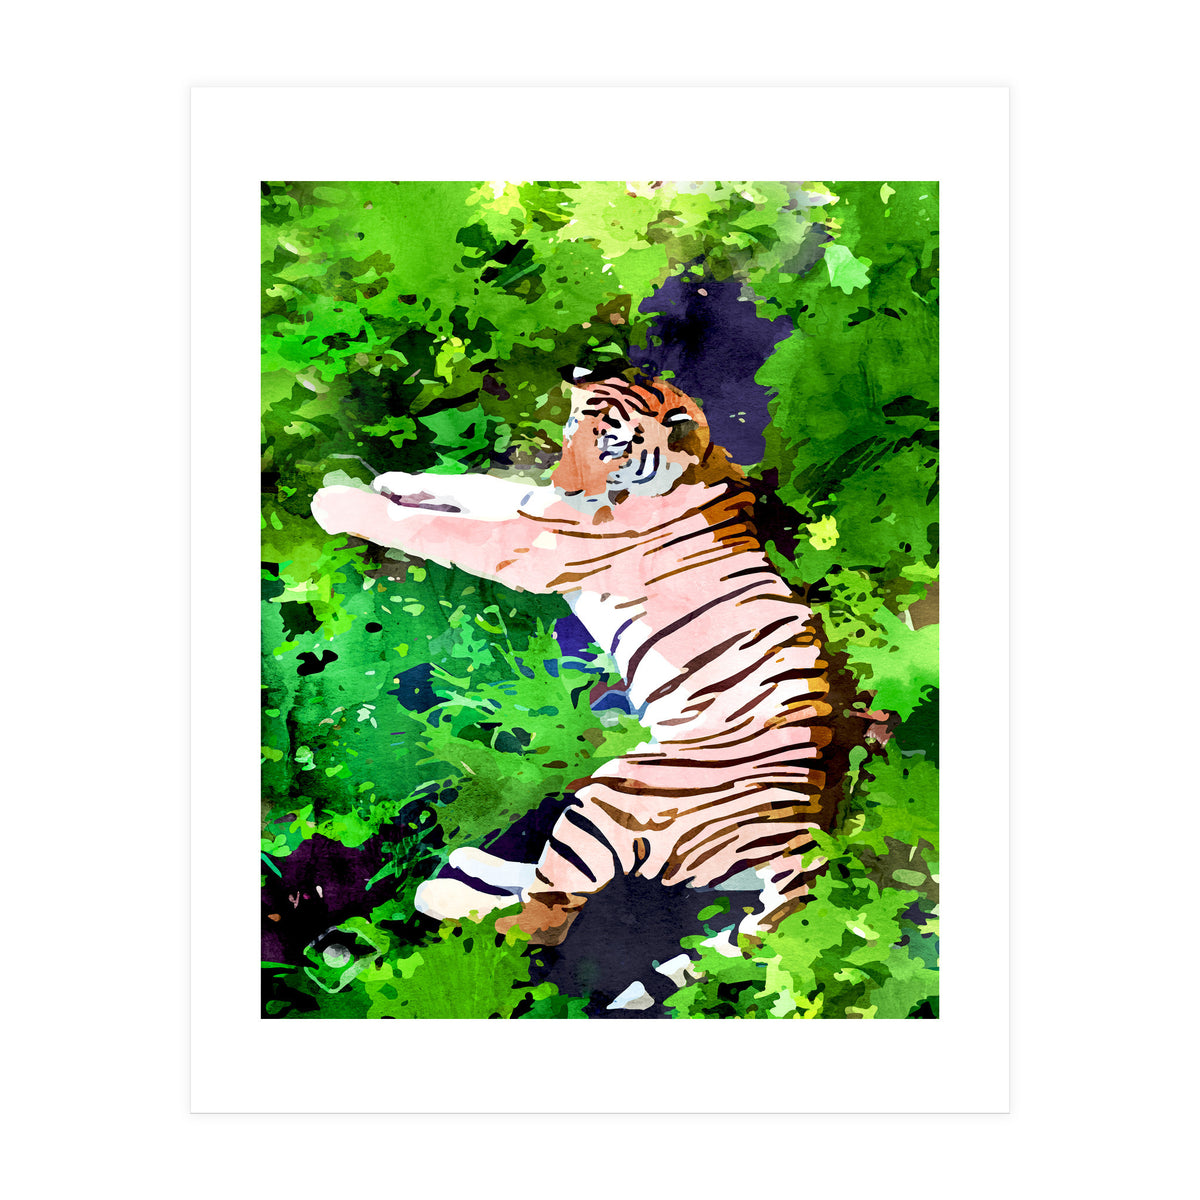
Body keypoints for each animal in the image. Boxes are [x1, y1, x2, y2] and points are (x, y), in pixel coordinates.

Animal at [311, 372, 852, 948]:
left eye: (612, 446)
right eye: (572, 429)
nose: (567, 484)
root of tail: (801, 840)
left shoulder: (526, 543)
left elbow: (428, 528)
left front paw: (337, 501)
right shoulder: (535, 506)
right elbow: (477, 485)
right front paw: (396, 479)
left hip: (616, 795)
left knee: (542, 920)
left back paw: (439, 895)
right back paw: (471, 860)